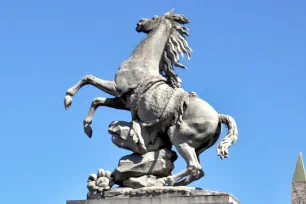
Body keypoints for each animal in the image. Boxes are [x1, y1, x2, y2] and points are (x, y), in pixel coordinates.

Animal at [64, 9, 238, 185]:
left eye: (154, 18)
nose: (139, 22)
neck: (142, 61)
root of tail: (218, 116)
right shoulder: (124, 100)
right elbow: (97, 100)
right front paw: (87, 127)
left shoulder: (117, 88)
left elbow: (88, 78)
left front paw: (68, 99)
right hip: (197, 147)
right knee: (199, 171)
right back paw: (175, 184)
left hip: (178, 136)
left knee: (194, 166)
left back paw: (167, 181)